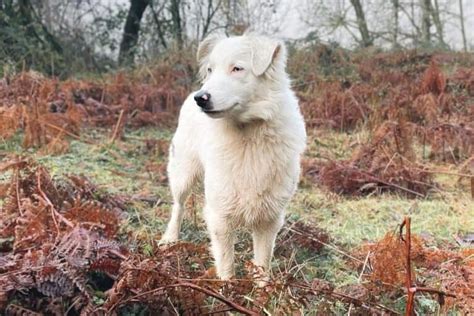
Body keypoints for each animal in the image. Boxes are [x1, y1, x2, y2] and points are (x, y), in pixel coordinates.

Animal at [160, 34, 308, 280]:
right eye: (210, 70)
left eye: (237, 69)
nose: (200, 98)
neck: (248, 135)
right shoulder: (220, 216)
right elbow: (227, 265)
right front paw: (227, 287)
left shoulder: (270, 219)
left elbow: (262, 264)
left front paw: (261, 288)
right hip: (183, 174)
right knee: (178, 206)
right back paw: (169, 239)